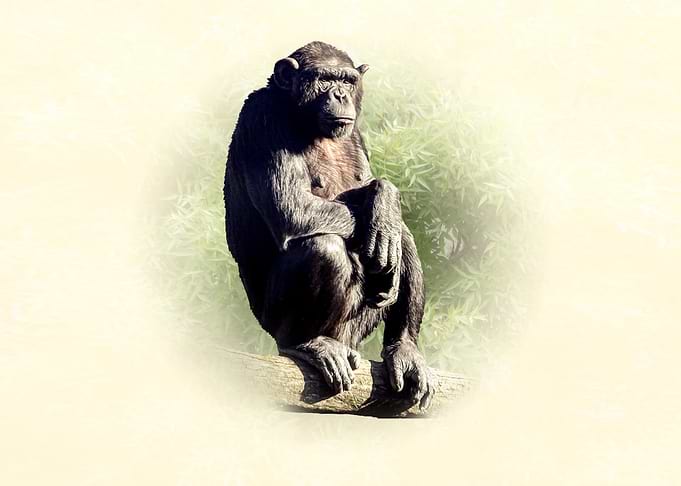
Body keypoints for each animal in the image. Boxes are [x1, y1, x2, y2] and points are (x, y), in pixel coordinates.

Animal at [224, 41, 433, 409]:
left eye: (347, 80)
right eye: (323, 78)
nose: (339, 94)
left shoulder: (357, 134)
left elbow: (377, 203)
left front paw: (385, 200)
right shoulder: (261, 118)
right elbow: (292, 207)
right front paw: (381, 211)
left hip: (357, 328)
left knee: (404, 240)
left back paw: (404, 351)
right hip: (276, 324)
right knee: (324, 246)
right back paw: (308, 344)